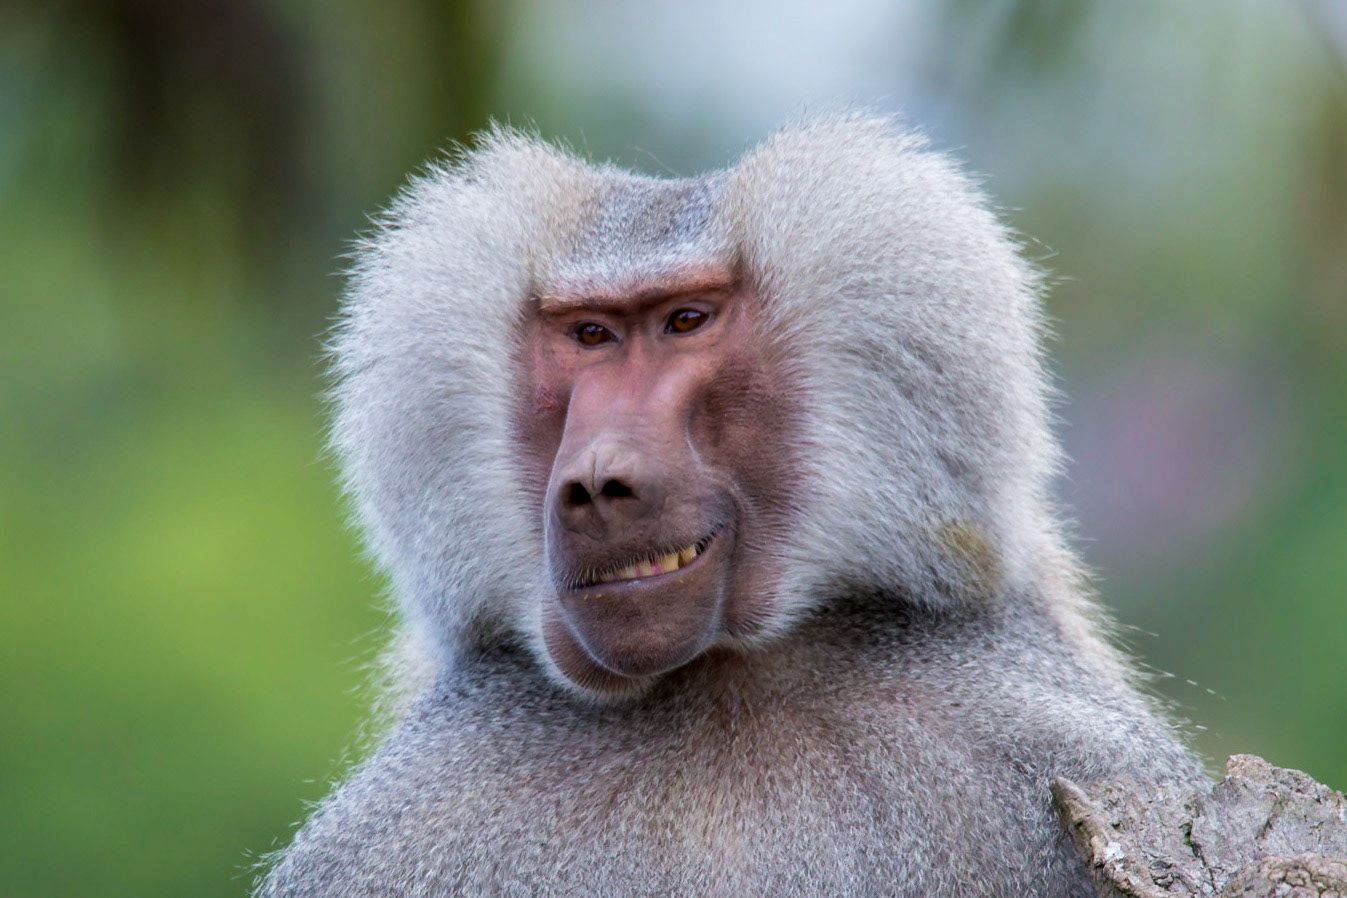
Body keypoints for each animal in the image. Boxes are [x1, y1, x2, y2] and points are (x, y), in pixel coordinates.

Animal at [258, 112, 1205, 897]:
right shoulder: (402, 825)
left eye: (685, 320)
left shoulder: (1049, 747)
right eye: (590, 334)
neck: (721, 689)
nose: (598, 483)